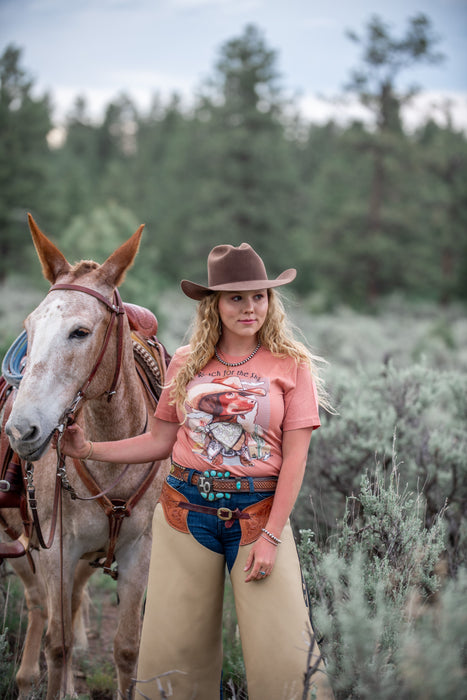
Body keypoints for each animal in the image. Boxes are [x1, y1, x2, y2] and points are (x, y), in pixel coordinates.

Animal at [0, 216, 172, 696]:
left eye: (80, 331)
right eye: (31, 327)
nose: (21, 431)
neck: (112, 449)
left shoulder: (139, 551)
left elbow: (127, 649)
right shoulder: (55, 550)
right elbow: (57, 646)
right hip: (20, 544)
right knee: (39, 606)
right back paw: (26, 678)